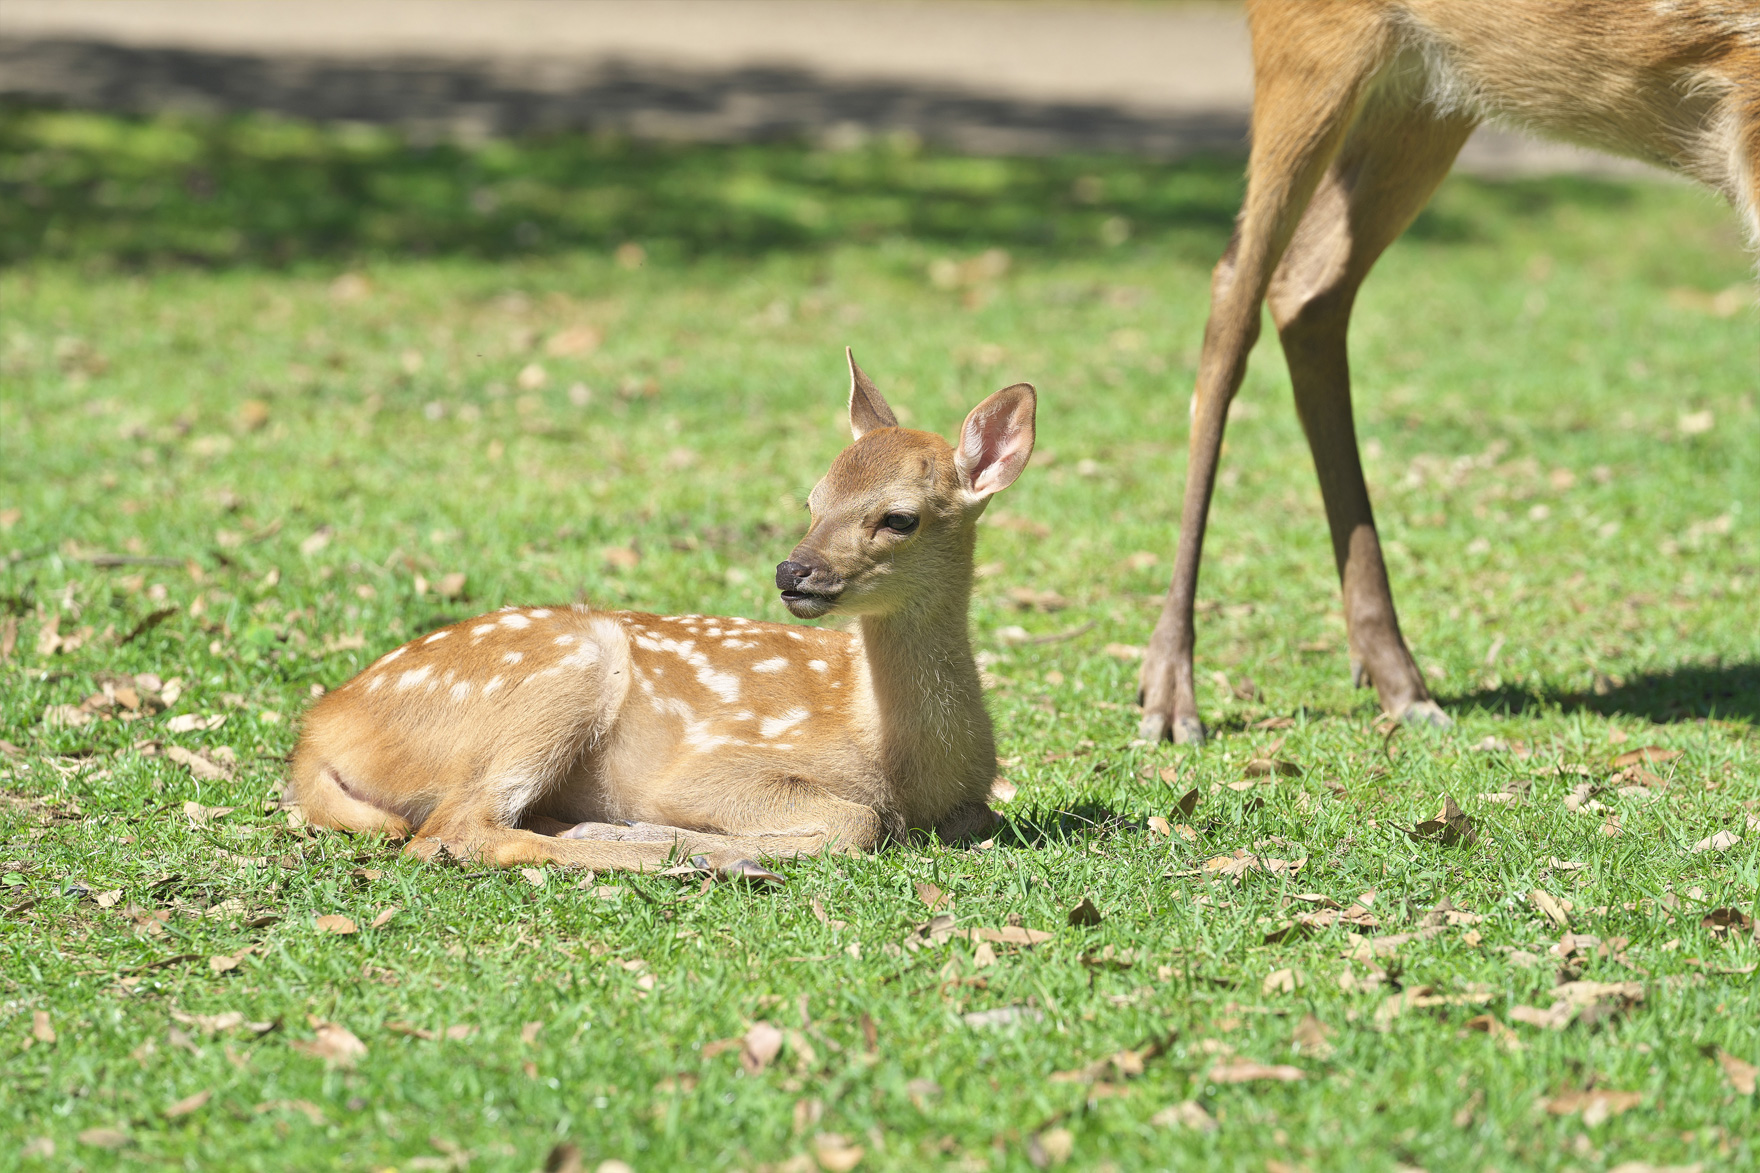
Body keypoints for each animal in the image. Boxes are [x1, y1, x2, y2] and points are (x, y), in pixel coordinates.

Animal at [286, 352, 1027, 873]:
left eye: (899, 517)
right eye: (813, 499)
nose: (792, 572)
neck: (903, 761)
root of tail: (318, 731)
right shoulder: (714, 762)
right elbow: (858, 822)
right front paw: (695, 838)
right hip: (561, 675)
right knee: (450, 833)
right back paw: (699, 855)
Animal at [1133, 2, 1752, 739]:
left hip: (1430, 94)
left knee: (1309, 284)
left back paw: (1401, 682)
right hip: (1309, 42)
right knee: (1236, 289)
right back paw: (1171, 694)